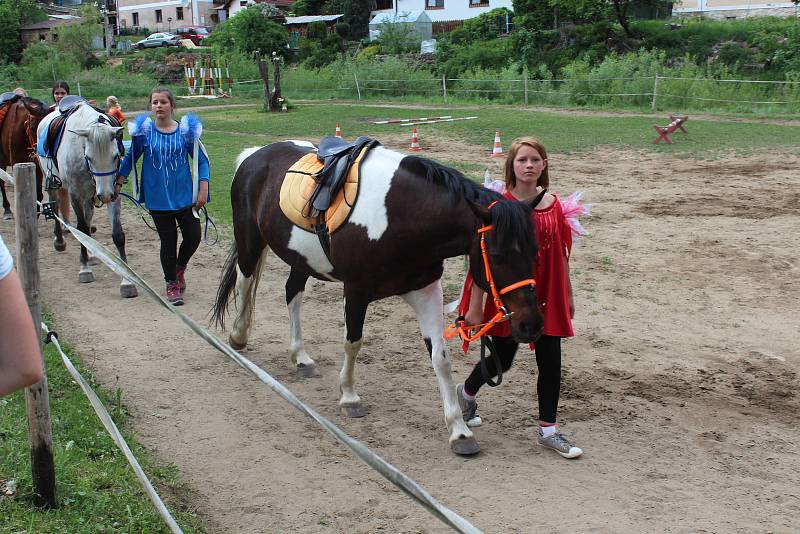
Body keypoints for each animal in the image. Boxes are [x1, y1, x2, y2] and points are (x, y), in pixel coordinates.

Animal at [212, 139, 544, 456]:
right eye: (498, 256)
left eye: (536, 251)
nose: (531, 325)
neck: (402, 216)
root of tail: (255, 154)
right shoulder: (356, 291)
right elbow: (353, 343)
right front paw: (349, 397)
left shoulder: (425, 291)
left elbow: (441, 358)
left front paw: (459, 431)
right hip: (250, 239)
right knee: (245, 283)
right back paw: (238, 337)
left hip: (301, 258)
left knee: (292, 294)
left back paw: (301, 357)